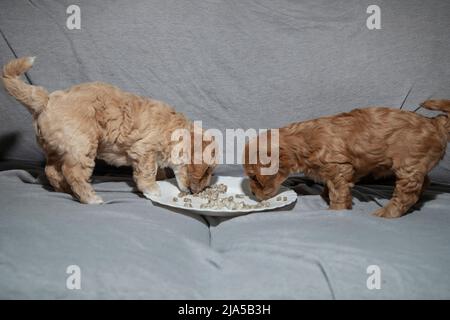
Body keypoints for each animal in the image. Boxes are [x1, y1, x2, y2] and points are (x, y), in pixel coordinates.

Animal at [1, 56, 216, 204]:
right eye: (206, 171)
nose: (199, 191)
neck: (174, 130)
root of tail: (46, 100)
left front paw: (162, 177)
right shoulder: (144, 150)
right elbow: (147, 171)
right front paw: (153, 189)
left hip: (57, 147)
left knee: (51, 170)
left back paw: (66, 190)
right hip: (82, 145)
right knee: (73, 172)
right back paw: (90, 198)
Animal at [246, 104, 450, 218]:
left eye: (255, 178)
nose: (253, 194)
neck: (304, 140)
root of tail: (435, 122)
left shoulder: (338, 169)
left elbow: (339, 192)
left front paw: (336, 210)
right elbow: (330, 188)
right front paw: (325, 196)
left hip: (408, 165)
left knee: (407, 195)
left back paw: (387, 213)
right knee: (425, 182)